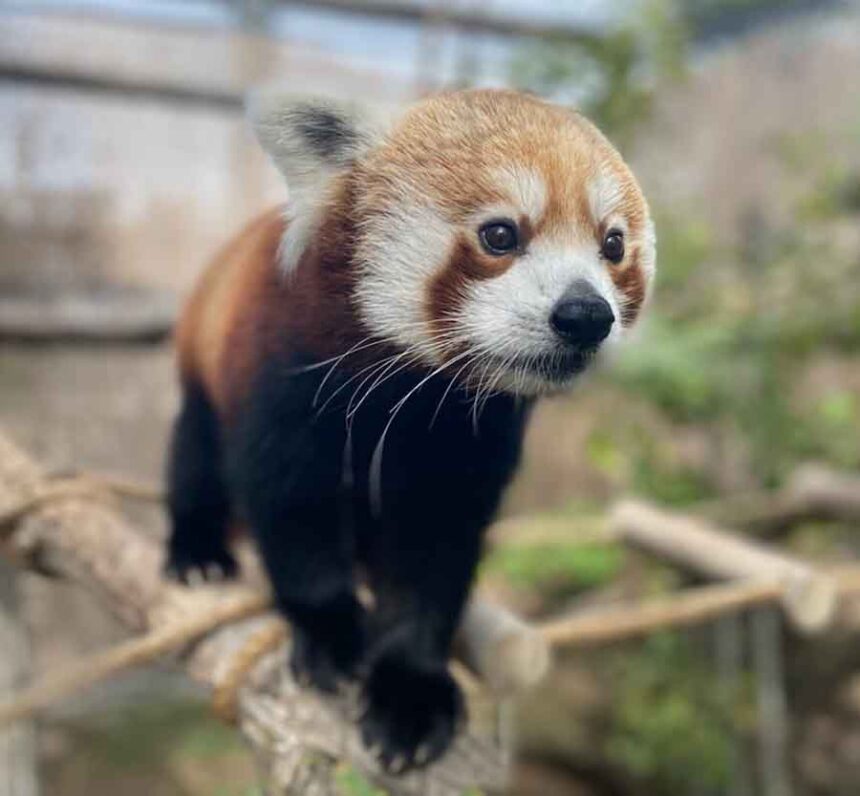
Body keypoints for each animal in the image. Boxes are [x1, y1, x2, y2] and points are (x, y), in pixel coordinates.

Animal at [165, 88, 655, 773]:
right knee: (196, 453)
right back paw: (197, 550)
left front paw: (409, 691)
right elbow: (291, 507)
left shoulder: (469, 436)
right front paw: (331, 632)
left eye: (612, 245)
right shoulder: (285, 366)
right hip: (201, 358)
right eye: (500, 234)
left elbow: (432, 553)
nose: (586, 315)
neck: (416, 389)